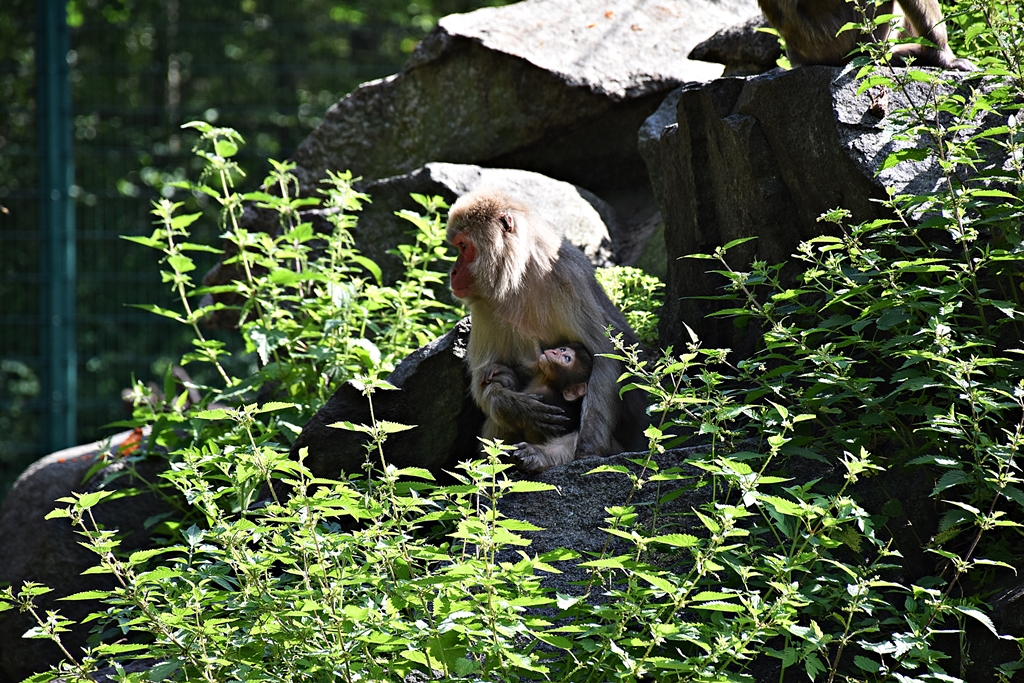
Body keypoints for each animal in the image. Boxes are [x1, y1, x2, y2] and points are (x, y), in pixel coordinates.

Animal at [447, 188, 648, 473]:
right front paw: (514, 406)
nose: (453, 272)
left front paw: (586, 450)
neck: (520, 275)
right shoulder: (484, 307)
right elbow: (483, 379)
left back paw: (540, 455)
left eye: (464, 247)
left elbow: (605, 357)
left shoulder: (566, 276)